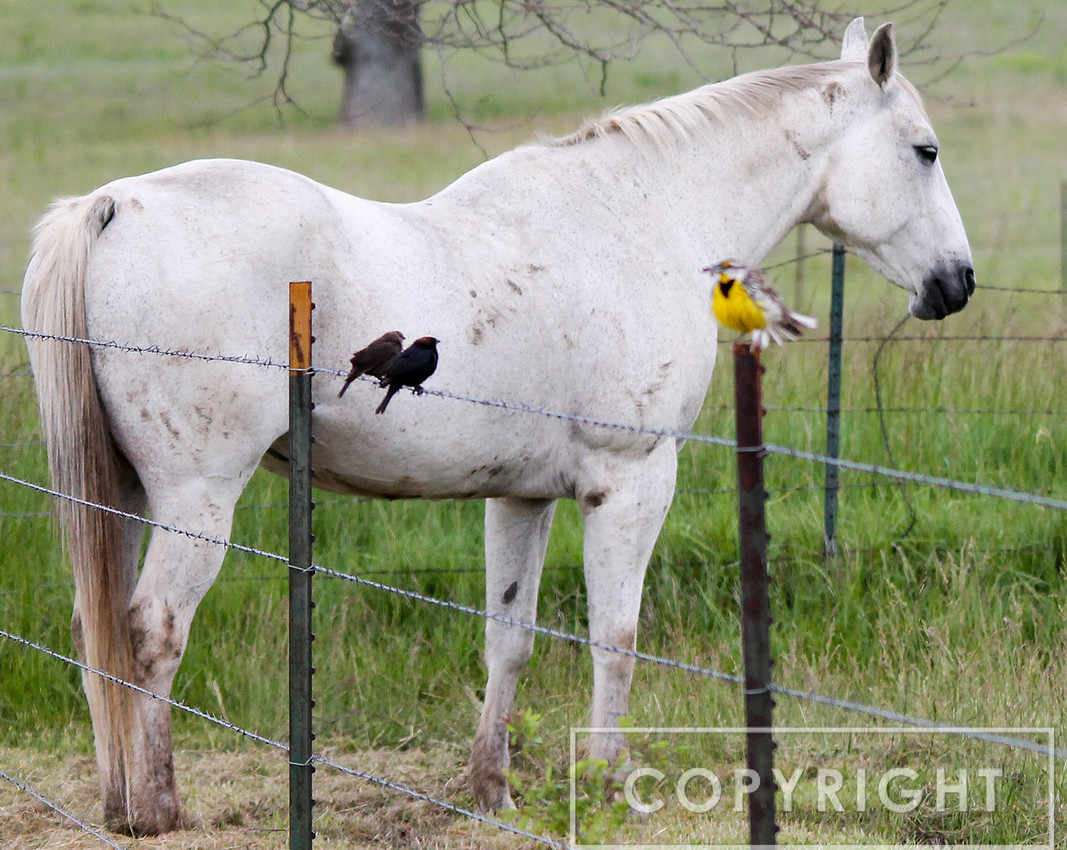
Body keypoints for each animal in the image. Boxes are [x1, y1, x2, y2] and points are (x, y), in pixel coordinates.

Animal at [21, 18, 974, 834]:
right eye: (923, 151)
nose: (956, 282)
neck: (643, 220)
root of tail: (112, 205)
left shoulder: (521, 498)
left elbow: (508, 640)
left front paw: (492, 789)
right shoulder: (631, 483)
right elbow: (615, 639)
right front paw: (611, 788)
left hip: (124, 494)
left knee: (97, 629)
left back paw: (116, 803)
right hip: (197, 498)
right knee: (152, 631)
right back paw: (156, 810)